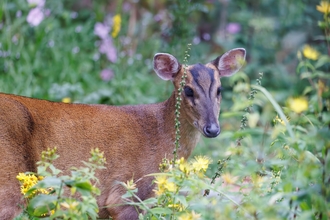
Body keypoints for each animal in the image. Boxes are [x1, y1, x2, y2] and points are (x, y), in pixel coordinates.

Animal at [0, 47, 245, 218]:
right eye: (188, 90)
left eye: (219, 90)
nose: (212, 128)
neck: (159, 135)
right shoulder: (123, 195)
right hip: (9, 183)